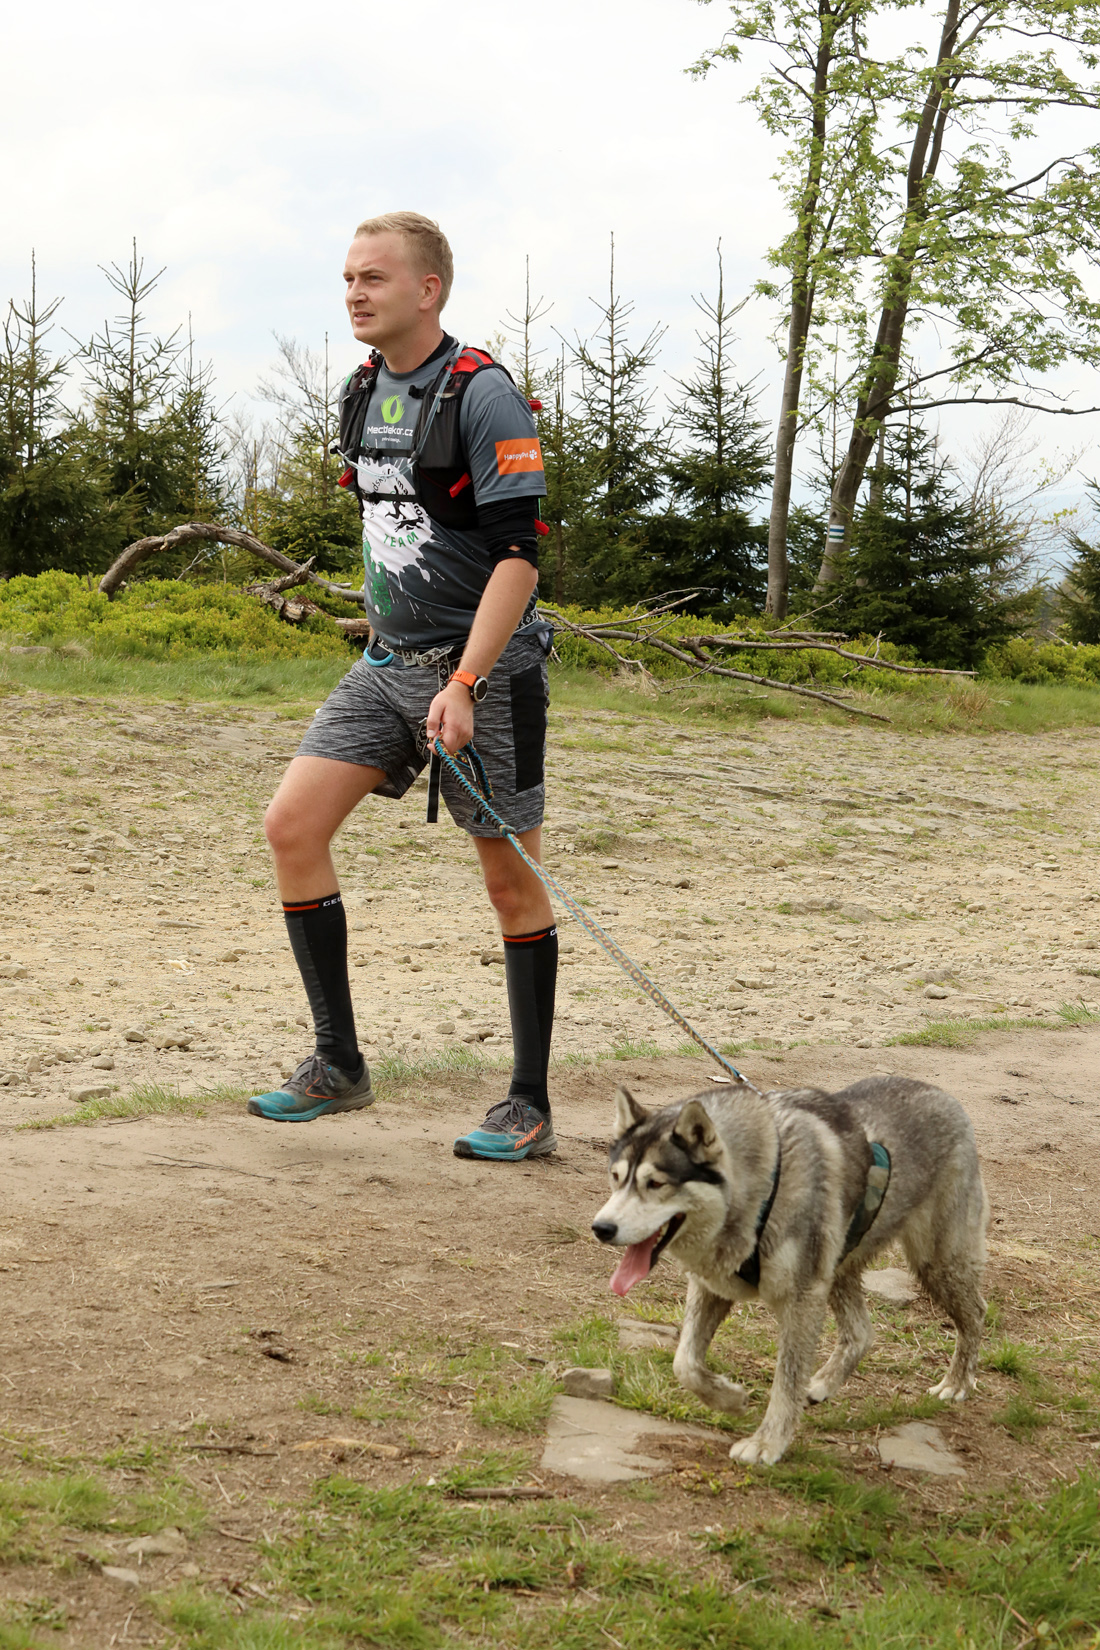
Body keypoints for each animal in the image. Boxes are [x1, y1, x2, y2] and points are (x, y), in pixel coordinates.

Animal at [592, 1076, 988, 1465]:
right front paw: (729, 1399)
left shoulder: (801, 1299)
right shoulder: (712, 1287)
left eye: (656, 1183)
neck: (765, 1187)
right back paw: (822, 1383)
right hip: (839, 1269)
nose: (601, 1228)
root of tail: (942, 1094)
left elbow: (785, 1382)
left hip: (936, 1264)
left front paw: (767, 1443)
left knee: (976, 1314)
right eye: (616, 1177)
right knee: (862, 1332)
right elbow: (685, 1364)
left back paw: (957, 1383)